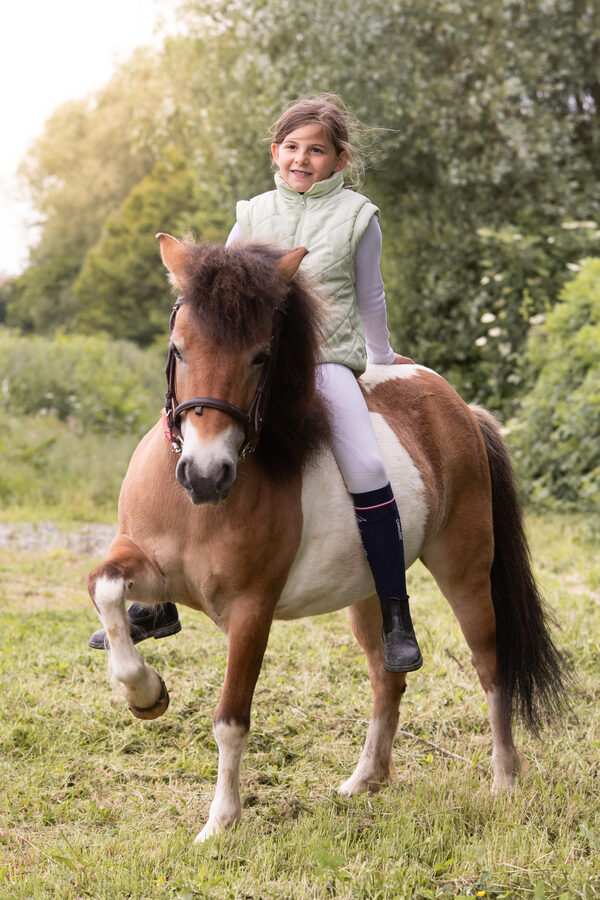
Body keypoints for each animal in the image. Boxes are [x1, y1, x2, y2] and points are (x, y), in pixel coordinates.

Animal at [87, 234, 567, 843]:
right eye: (179, 349)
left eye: (260, 356)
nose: (205, 475)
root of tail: (456, 403)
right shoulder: (147, 567)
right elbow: (104, 587)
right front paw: (145, 693)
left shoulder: (251, 611)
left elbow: (231, 718)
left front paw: (221, 822)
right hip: (369, 594)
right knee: (387, 678)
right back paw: (366, 779)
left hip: (465, 570)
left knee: (490, 666)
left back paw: (504, 779)